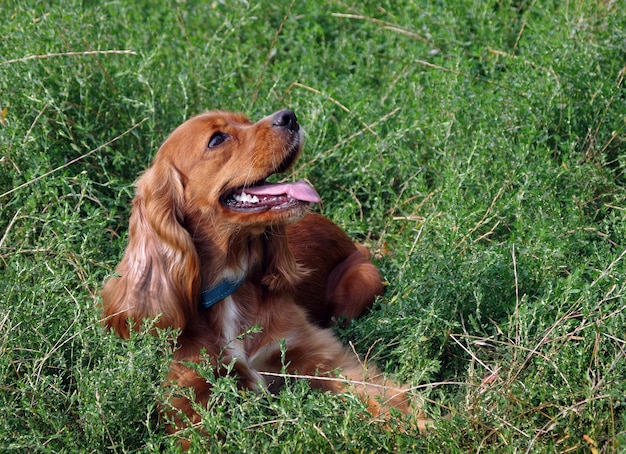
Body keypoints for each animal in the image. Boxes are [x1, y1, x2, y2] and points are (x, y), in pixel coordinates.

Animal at [102, 109, 426, 444]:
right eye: (217, 139)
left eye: (245, 120)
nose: (289, 116)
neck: (230, 288)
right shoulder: (185, 395)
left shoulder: (317, 351)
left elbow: (372, 391)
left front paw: (418, 424)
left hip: (363, 280)